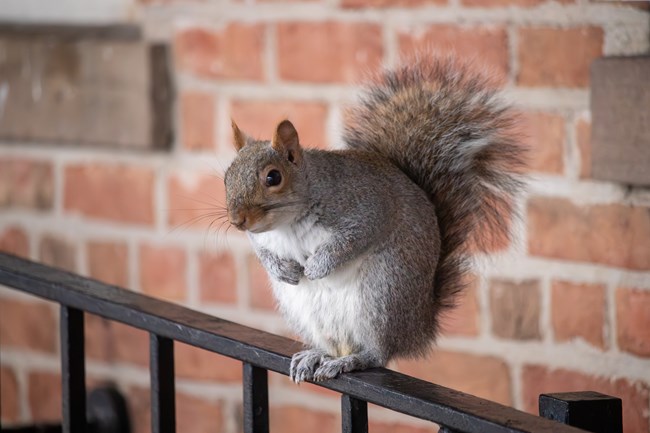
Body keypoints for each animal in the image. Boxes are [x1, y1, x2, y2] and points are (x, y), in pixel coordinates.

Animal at [225, 54, 524, 382]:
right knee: (331, 344)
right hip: (303, 308)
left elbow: (353, 239)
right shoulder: (261, 237)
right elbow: (261, 249)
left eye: (273, 177)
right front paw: (280, 268)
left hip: (384, 290)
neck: (287, 223)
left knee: (378, 352)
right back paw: (316, 355)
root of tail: (419, 328)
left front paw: (317, 266)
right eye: (226, 176)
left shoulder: (367, 208)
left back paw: (352, 360)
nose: (237, 221)